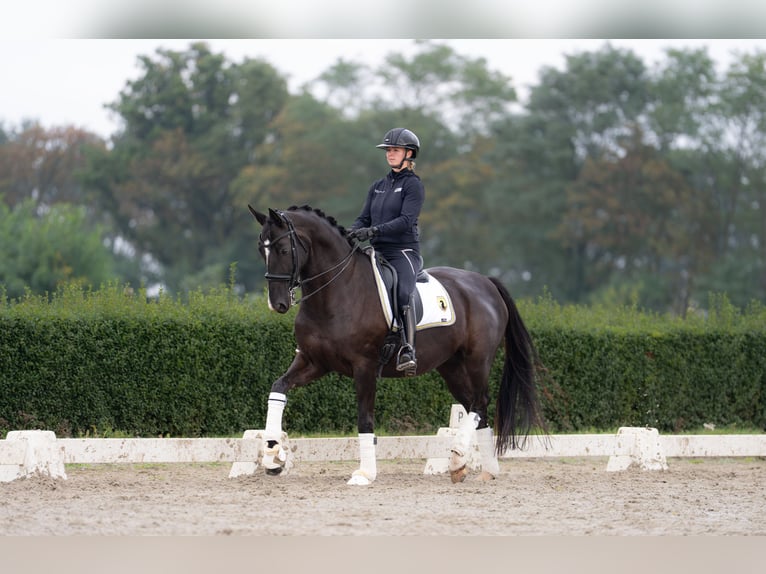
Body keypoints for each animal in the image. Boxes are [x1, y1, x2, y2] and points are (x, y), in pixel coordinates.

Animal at [248, 204, 547, 485]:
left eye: (283, 249)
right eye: (261, 250)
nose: (277, 304)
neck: (337, 291)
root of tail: (486, 281)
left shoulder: (365, 366)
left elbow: (364, 418)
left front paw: (365, 474)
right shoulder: (313, 361)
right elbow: (278, 388)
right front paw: (273, 456)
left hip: (477, 360)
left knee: (479, 402)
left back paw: (458, 456)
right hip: (451, 367)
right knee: (477, 407)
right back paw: (482, 470)